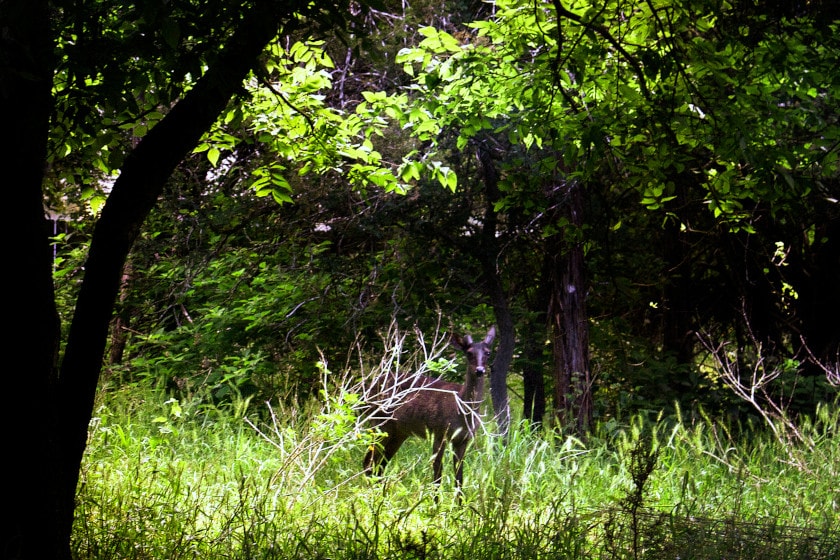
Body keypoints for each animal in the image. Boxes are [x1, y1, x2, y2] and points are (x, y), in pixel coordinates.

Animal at [362, 324, 496, 494]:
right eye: (469, 353)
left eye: (488, 352)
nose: (479, 370)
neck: (462, 412)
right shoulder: (439, 432)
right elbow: (437, 476)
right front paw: (435, 501)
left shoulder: (463, 439)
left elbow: (459, 479)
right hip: (379, 422)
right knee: (369, 462)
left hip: (399, 432)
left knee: (380, 465)